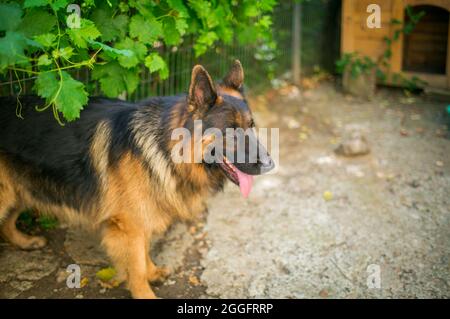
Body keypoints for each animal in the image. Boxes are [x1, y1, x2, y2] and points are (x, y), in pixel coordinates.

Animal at [0, 61, 274, 298]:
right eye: (231, 131)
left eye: (251, 126)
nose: (270, 164)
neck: (165, 147)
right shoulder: (128, 224)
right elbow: (137, 266)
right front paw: (145, 291)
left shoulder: (141, 218)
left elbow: (143, 253)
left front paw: (153, 272)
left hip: (19, 191)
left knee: (7, 224)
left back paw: (26, 242)